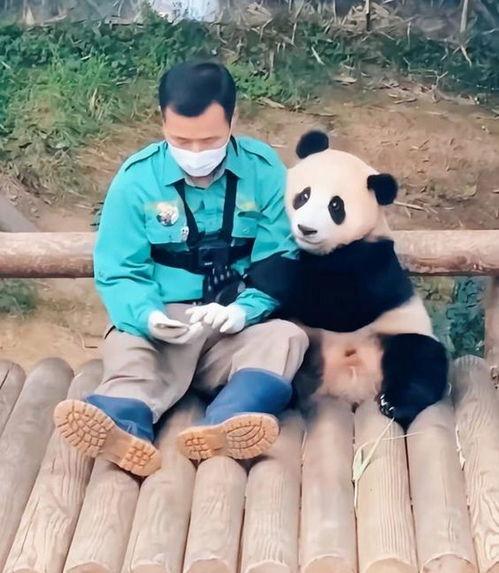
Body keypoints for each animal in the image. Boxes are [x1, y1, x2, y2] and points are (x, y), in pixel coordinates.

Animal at [249, 130, 449, 428]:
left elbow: (342, 307)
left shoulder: (376, 261)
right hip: (311, 341)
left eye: (336, 206)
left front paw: (262, 269)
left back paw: (394, 403)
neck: (323, 252)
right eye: (304, 195)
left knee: (421, 359)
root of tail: (351, 388)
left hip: (394, 333)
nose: (306, 229)